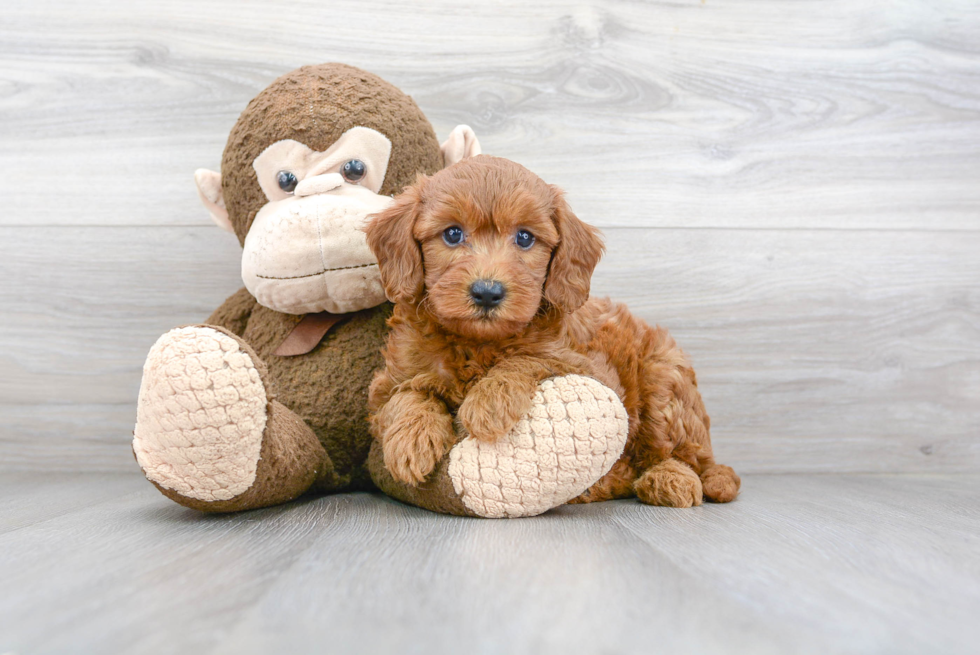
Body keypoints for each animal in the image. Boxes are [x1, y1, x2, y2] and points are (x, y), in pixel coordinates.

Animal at [364, 154, 740, 508]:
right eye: (453, 234)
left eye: (525, 238)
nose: (487, 292)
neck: (479, 342)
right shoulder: (390, 381)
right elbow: (404, 395)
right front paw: (409, 439)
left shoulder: (587, 368)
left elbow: (528, 358)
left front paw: (490, 402)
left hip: (664, 384)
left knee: (684, 457)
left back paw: (670, 479)